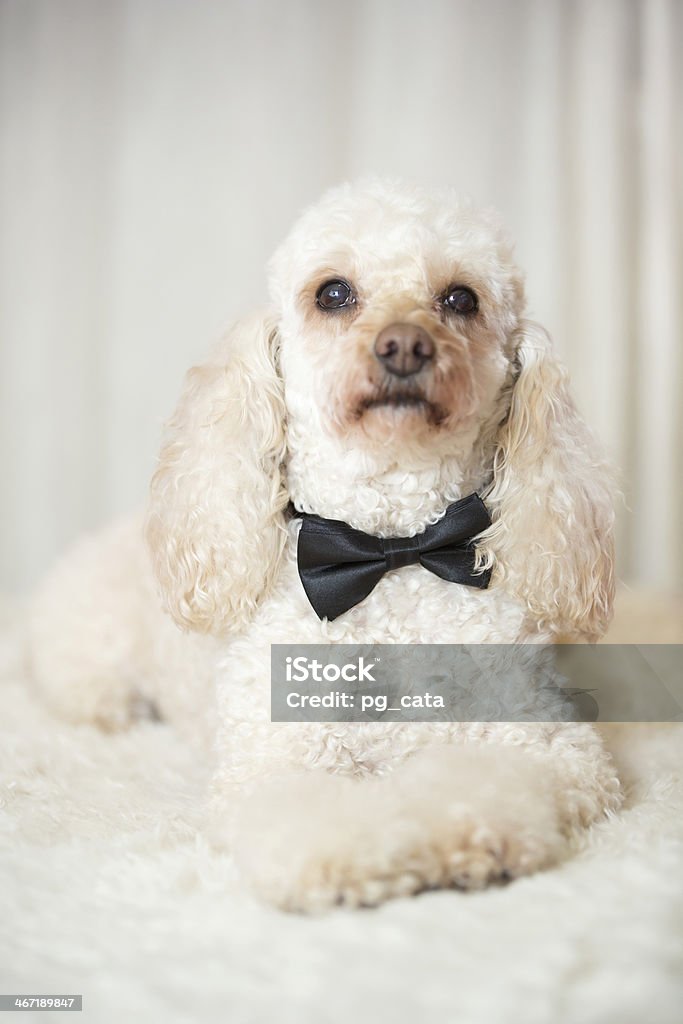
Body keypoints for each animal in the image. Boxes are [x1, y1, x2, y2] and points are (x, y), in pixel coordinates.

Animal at [29, 180, 622, 909]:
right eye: (334, 293)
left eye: (461, 299)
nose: (404, 346)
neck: (391, 553)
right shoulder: (278, 763)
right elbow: (323, 821)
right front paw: (366, 856)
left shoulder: (551, 746)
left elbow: (485, 781)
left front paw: (467, 835)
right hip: (91, 667)